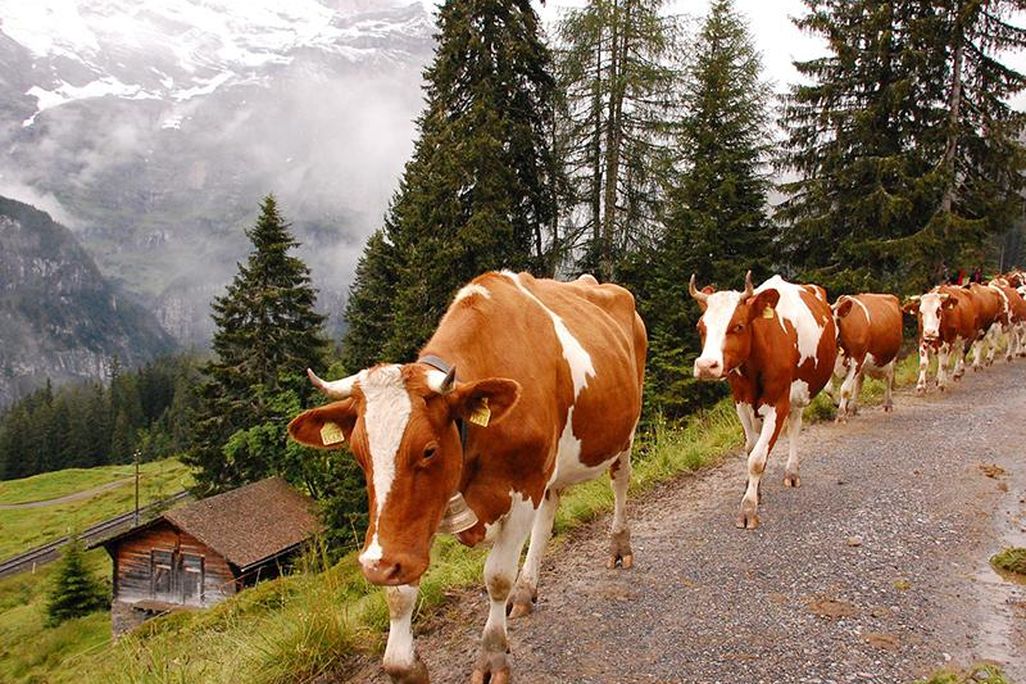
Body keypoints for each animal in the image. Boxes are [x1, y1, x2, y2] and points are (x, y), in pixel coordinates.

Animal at [288, 271, 646, 684]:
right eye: (359, 454)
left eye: (428, 450)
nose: (375, 567)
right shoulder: (417, 520)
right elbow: (399, 593)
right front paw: (404, 665)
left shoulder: (524, 487)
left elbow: (497, 577)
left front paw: (492, 657)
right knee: (549, 511)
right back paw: (526, 591)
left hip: (625, 432)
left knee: (619, 482)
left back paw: (619, 548)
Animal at [689, 272, 836, 529]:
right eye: (700, 327)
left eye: (738, 326)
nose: (706, 366)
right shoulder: (741, 402)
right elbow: (751, 448)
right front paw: (754, 491)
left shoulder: (778, 404)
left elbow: (757, 459)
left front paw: (748, 509)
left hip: (799, 393)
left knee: (795, 428)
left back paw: (792, 472)